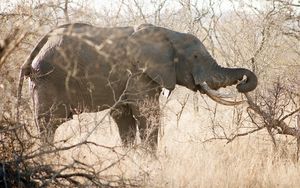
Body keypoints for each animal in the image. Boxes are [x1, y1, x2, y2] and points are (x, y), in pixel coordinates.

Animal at [17, 22, 258, 148]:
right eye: (196, 57)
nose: (242, 83)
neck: (168, 34)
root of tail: (39, 45)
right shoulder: (138, 75)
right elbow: (147, 114)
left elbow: (123, 117)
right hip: (48, 79)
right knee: (49, 123)